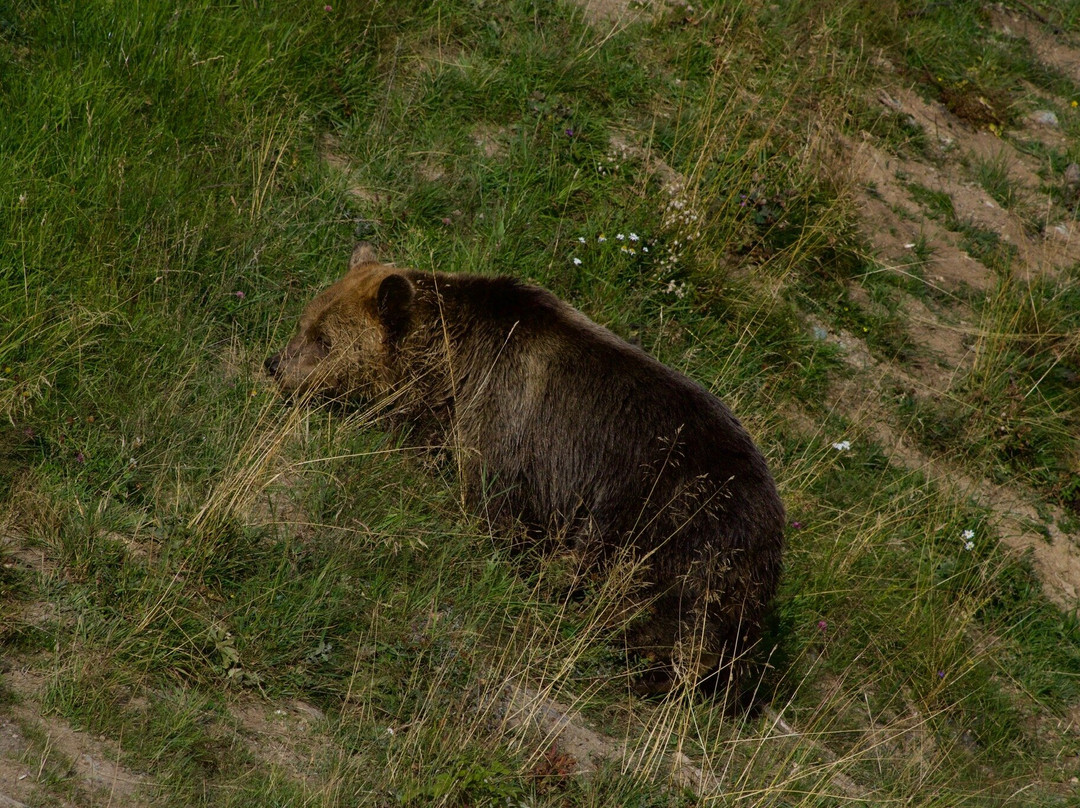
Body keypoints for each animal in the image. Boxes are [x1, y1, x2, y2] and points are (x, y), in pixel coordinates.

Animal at [264, 241, 781, 695]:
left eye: (325, 340)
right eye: (305, 320)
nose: (275, 364)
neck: (451, 365)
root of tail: (774, 534)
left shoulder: (509, 423)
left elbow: (491, 505)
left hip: (674, 531)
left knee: (659, 616)